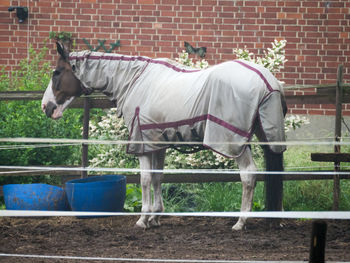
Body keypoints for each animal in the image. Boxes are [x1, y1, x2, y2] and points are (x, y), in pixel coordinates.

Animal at [41, 42, 288, 231]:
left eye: (57, 72)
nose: (46, 107)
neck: (134, 80)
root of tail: (268, 82)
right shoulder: (157, 143)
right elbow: (157, 177)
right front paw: (155, 216)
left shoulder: (142, 143)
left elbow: (145, 179)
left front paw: (143, 219)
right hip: (265, 135)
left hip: (234, 142)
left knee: (248, 175)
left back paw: (240, 222)